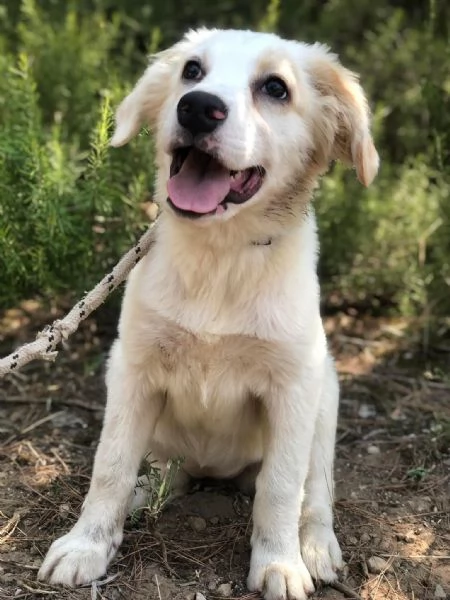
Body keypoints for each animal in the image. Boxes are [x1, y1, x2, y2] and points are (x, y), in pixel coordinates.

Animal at [38, 29, 378, 600]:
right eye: (191, 71)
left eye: (276, 87)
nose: (196, 108)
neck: (221, 254)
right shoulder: (131, 368)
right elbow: (110, 466)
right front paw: (87, 545)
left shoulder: (294, 384)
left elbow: (281, 488)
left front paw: (279, 563)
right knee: (158, 473)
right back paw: (144, 495)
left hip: (326, 396)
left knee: (313, 491)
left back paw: (314, 546)